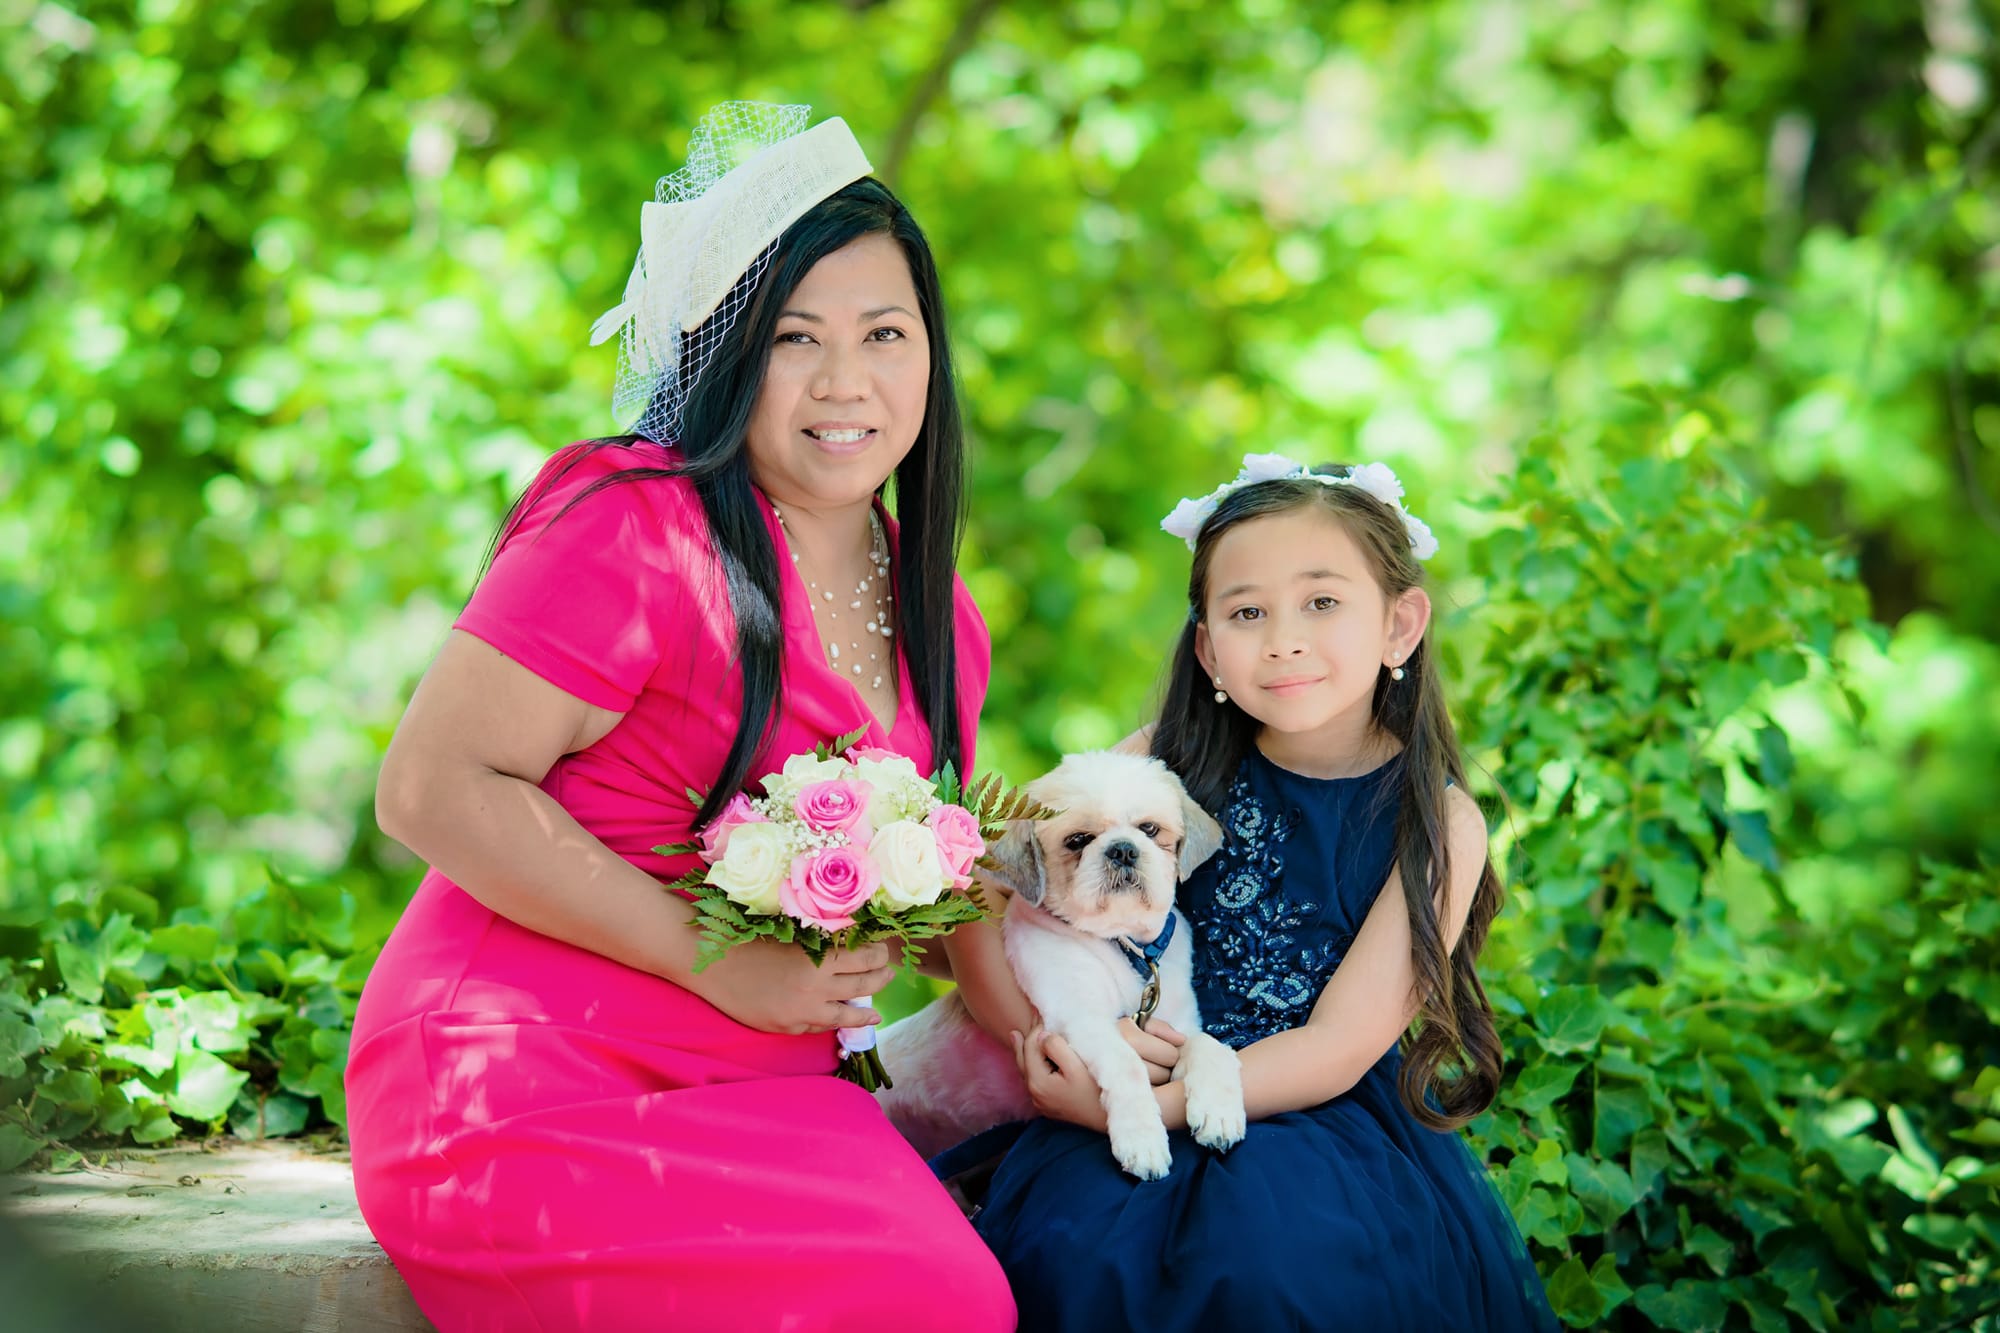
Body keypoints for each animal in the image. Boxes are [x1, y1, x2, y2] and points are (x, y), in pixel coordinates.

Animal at [880, 748, 1248, 1176]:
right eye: (1078, 841)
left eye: (1149, 829)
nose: (1123, 848)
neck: (1121, 945)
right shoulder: (1081, 1021)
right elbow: (1127, 1065)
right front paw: (1142, 1140)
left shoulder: (1176, 1027)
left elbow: (1209, 1045)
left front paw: (1218, 1112)